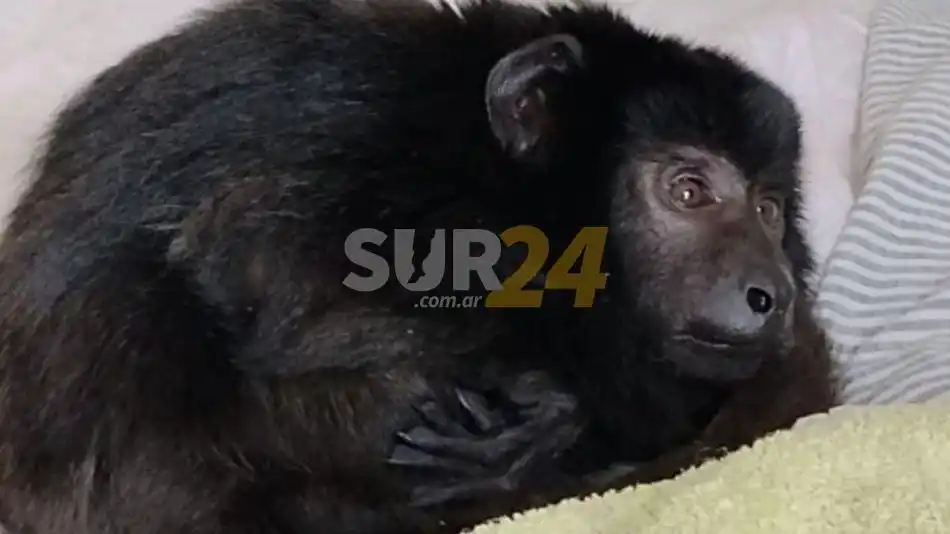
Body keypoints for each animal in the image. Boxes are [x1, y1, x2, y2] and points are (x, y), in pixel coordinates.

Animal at [0, 0, 840, 532]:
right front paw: (549, 411)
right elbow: (252, 276)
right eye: (689, 190)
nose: (772, 290)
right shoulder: (375, 146)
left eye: (769, 209)